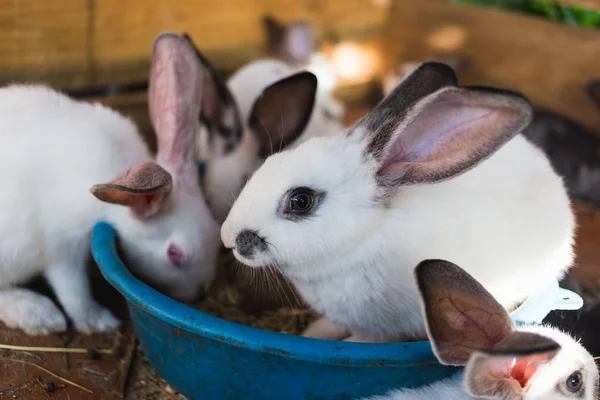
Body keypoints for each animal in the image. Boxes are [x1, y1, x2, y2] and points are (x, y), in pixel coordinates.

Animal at [0, 32, 220, 336]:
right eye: (175, 254)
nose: (199, 293)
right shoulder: (61, 246)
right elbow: (74, 289)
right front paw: (97, 321)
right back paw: (40, 315)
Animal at [221, 61, 576, 342]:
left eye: (300, 201)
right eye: (269, 164)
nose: (228, 237)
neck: (361, 240)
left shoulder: (384, 331)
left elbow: (359, 344)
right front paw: (312, 333)